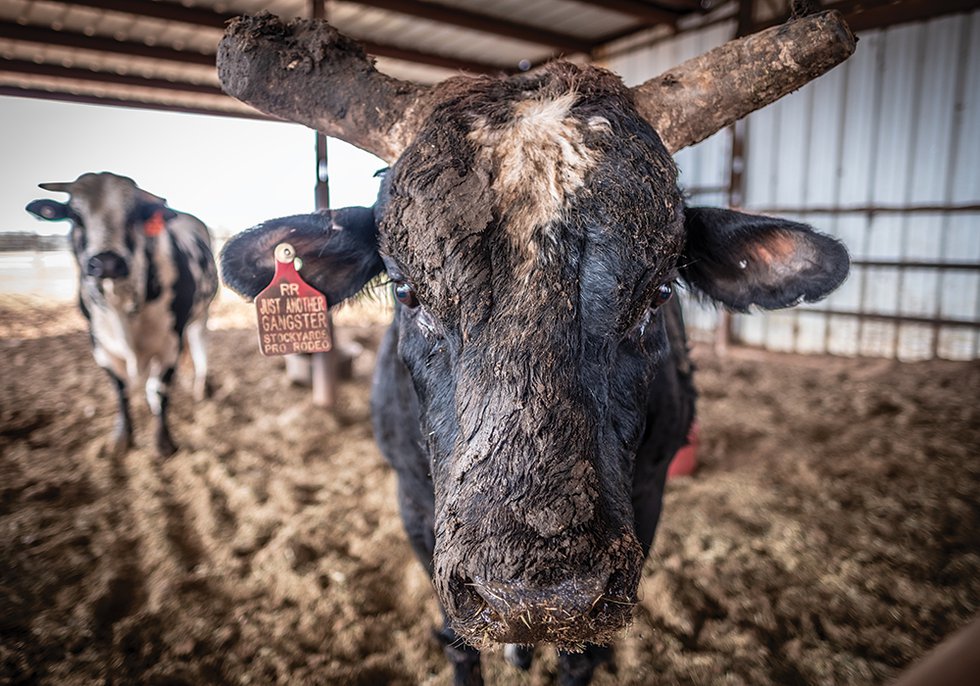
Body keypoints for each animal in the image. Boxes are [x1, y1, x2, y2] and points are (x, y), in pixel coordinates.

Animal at [25, 173, 217, 456]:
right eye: (75, 215)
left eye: (134, 214)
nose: (106, 262)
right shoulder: (100, 345)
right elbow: (121, 390)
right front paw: (122, 437)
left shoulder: (170, 344)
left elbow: (161, 389)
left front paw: (163, 441)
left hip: (200, 315)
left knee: (198, 347)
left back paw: (201, 387)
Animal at [216, 10, 856, 686]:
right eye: (408, 290)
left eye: (658, 293)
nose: (534, 600)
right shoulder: (413, 500)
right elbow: (458, 641)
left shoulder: (650, 493)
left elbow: (584, 654)